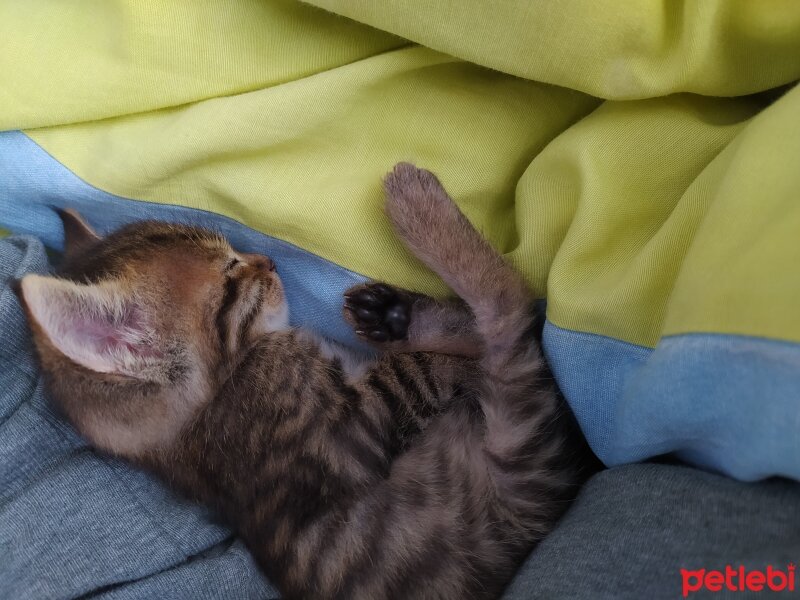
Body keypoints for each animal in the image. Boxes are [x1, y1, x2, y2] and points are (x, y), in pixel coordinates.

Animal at [15, 164, 592, 600]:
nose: (268, 260)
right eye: (230, 273)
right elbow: (426, 367)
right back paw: (417, 206)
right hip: (518, 441)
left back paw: (394, 313)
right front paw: (452, 362)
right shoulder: (350, 424)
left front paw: (400, 324)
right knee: (507, 315)